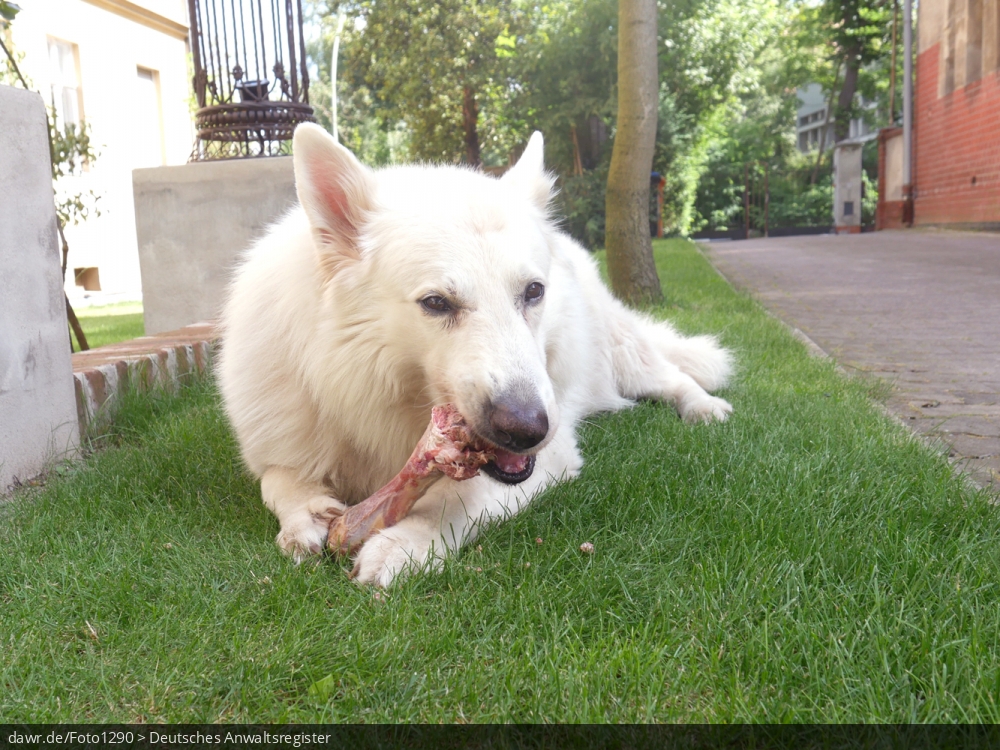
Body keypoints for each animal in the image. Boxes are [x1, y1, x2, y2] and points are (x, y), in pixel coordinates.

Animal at [219, 125, 736, 588]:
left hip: (620, 358)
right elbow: (278, 481)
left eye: (533, 292)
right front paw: (305, 514)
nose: (528, 430)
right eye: (435, 303)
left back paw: (704, 407)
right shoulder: (283, 447)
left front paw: (405, 541)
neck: (365, 392)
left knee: (671, 375)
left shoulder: (549, 457)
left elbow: (458, 498)